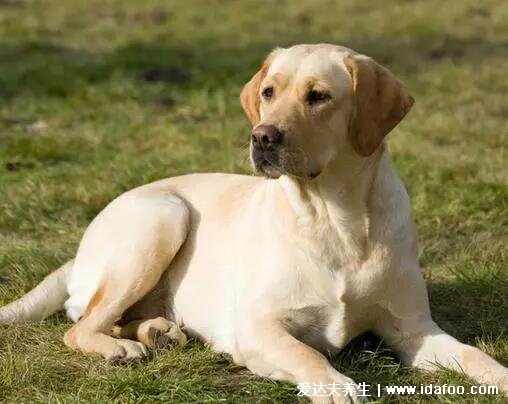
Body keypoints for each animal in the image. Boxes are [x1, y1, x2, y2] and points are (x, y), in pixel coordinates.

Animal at [0, 42, 506, 402]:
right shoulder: (256, 327)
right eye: (269, 92)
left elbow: (475, 356)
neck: (335, 218)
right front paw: (335, 386)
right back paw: (122, 347)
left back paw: (157, 332)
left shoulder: (415, 331)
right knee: (81, 324)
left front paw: (499, 376)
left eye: (318, 96)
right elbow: (304, 352)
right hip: (165, 216)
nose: (261, 137)